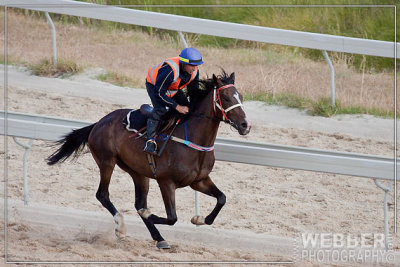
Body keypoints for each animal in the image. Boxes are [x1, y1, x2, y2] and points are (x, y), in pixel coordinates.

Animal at [47, 71, 250, 249]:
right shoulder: (166, 181)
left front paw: (200, 219)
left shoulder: (199, 180)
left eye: (240, 96)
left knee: (138, 203)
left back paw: (159, 239)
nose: (245, 125)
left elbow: (222, 198)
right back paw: (121, 227)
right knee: (103, 195)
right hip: (107, 161)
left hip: (138, 172)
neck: (193, 141)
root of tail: (98, 123)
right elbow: (172, 217)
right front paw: (150, 215)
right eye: (226, 98)